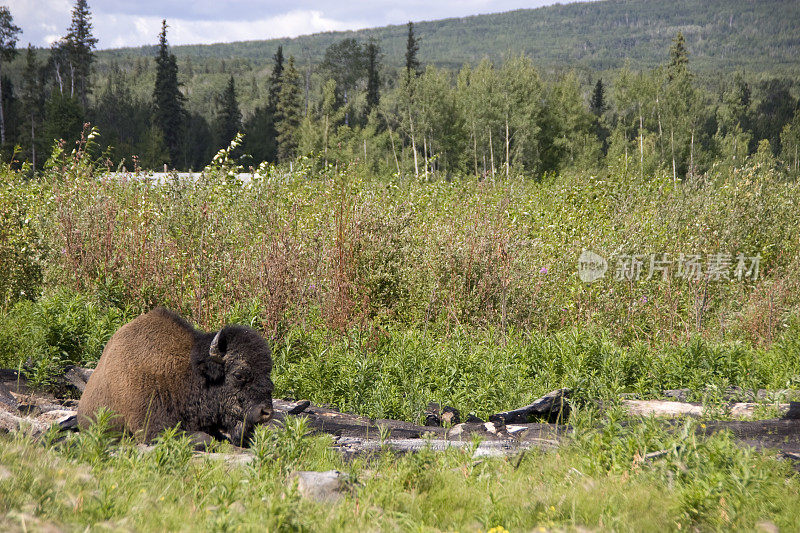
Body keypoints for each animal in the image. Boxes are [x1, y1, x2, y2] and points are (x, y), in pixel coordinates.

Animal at [77, 306, 276, 442]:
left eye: (268, 372)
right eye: (238, 375)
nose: (266, 412)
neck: (190, 373)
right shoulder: (151, 427)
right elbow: (204, 438)